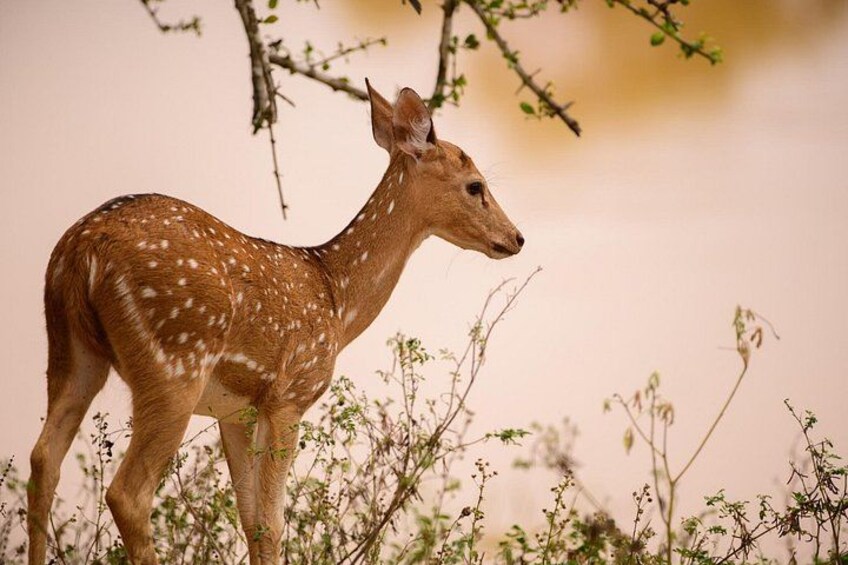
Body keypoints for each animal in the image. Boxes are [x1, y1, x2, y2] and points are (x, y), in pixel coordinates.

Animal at [26, 81, 524, 565]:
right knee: (127, 493)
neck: (336, 299)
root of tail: (86, 245)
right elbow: (272, 522)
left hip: (70, 349)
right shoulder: (290, 395)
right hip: (174, 360)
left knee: (42, 463)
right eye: (475, 185)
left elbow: (251, 521)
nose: (516, 237)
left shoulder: (236, 410)